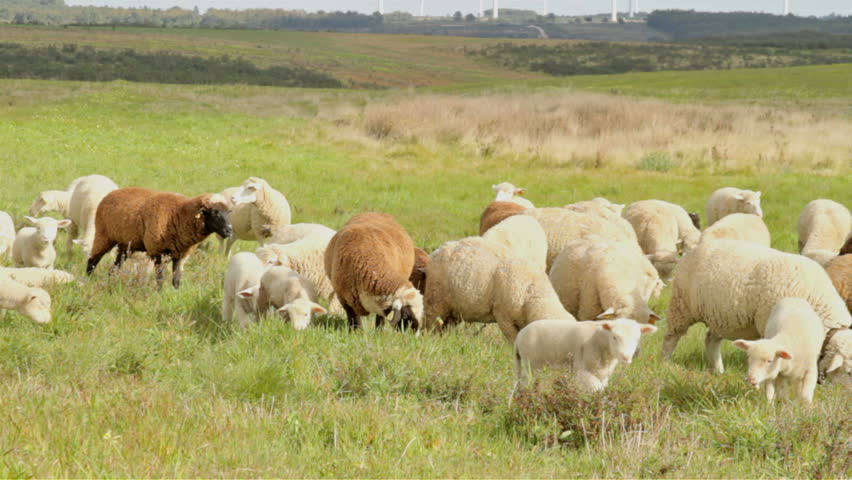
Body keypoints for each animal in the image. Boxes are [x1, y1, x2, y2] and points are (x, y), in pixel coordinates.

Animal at [86, 187, 233, 289]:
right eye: (215, 212)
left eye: (229, 212)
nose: (229, 231)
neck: (178, 214)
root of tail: (111, 193)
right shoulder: (157, 250)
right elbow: (160, 278)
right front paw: (159, 294)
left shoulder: (179, 254)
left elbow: (176, 280)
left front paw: (175, 294)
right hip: (104, 235)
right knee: (92, 260)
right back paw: (87, 280)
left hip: (125, 246)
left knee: (114, 268)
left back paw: (109, 281)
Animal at [422, 236, 575, 342]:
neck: (531, 292)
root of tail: (440, 248)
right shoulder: (503, 316)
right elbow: (513, 339)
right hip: (436, 299)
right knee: (431, 322)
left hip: (454, 309)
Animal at [513, 318, 657, 394]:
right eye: (614, 337)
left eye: (637, 338)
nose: (626, 357)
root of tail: (519, 336)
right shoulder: (582, 370)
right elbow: (595, 388)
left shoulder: (603, 374)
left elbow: (601, 388)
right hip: (529, 363)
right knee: (525, 384)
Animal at [663, 239, 851, 375]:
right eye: (848, 372)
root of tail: (696, 247)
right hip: (681, 306)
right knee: (671, 337)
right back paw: (665, 363)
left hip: (720, 316)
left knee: (711, 340)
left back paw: (718, 370)